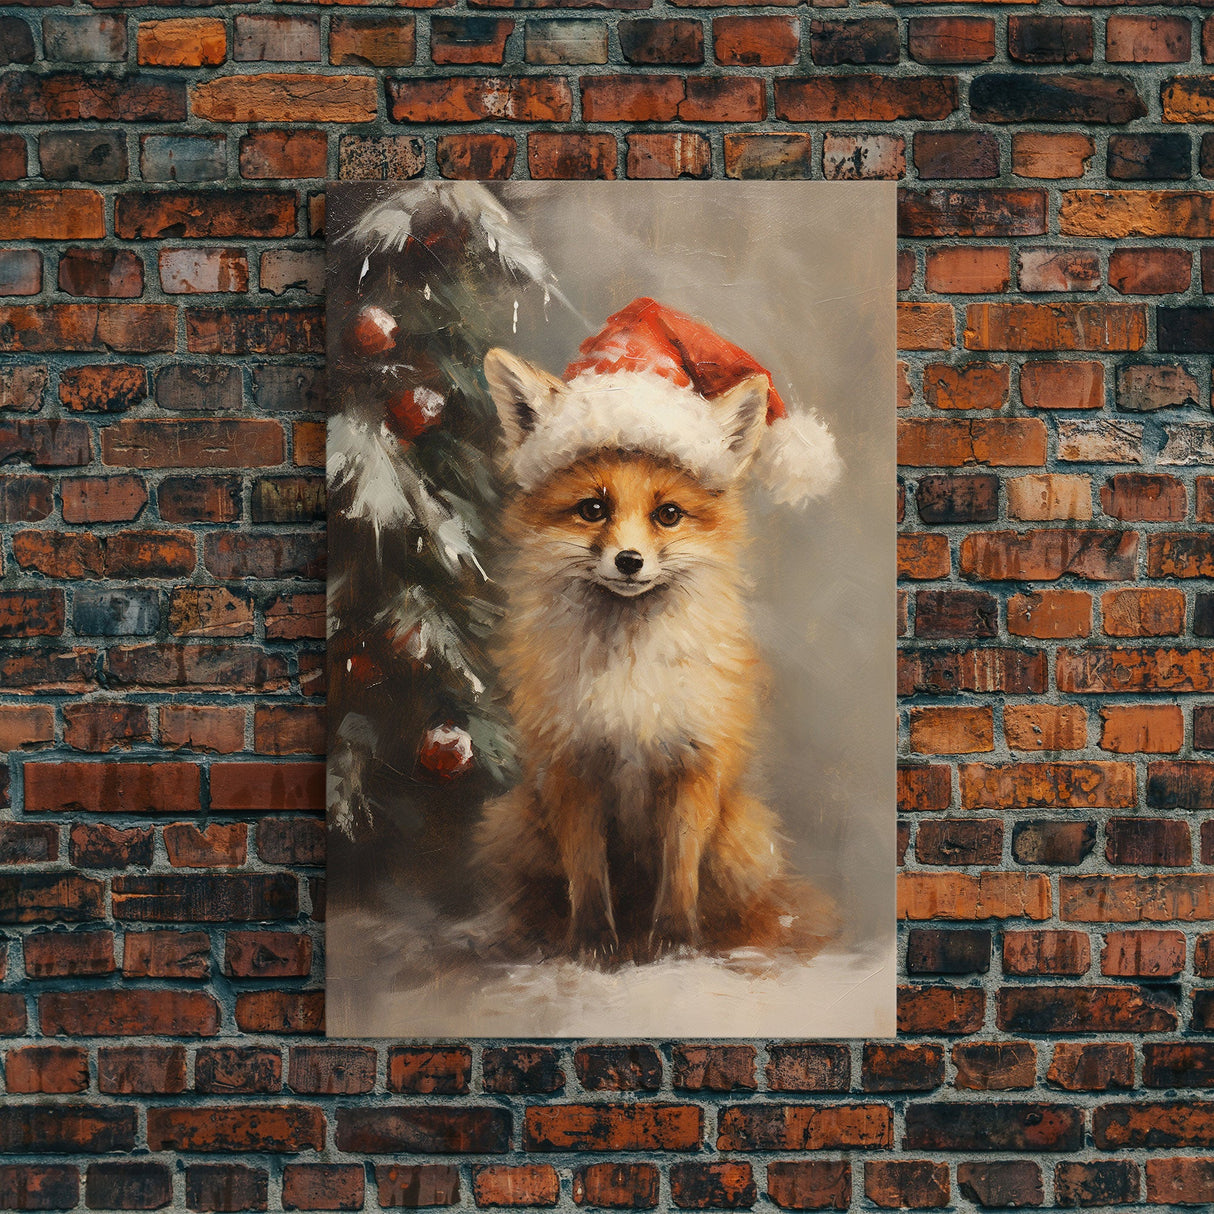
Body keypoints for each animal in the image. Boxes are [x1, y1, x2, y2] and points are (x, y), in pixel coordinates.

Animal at [475, 333, 837, 967]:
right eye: (593, 509)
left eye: (668, 514)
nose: (629, 561)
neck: (629, 676)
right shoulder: (573, 769)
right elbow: (586, 873)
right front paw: (593, 942)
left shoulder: (694, 765)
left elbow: (680, 870)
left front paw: (673, 941)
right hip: (515, 822)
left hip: (744, 838)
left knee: (746, 912)